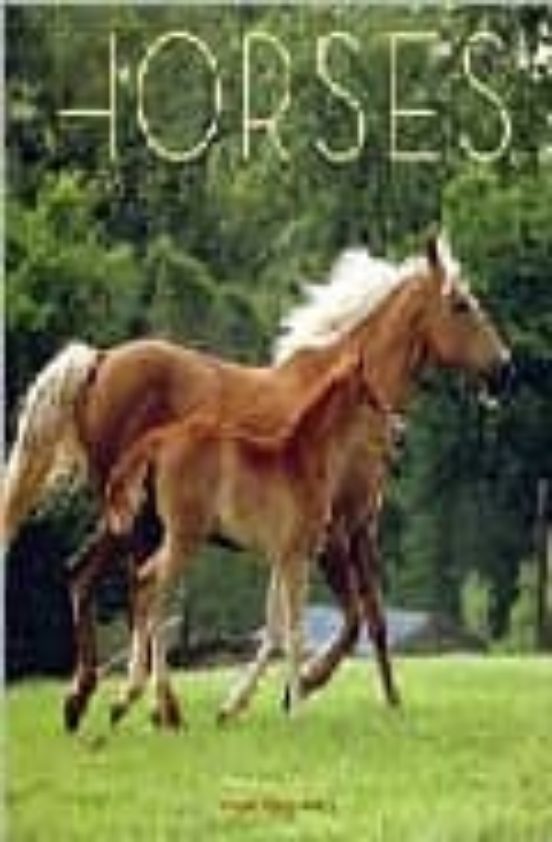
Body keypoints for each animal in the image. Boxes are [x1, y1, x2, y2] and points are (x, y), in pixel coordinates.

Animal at [3, 233, 511, 730]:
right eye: (461, 304)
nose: (504, 368)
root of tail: (101, 360)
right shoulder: (329, 538)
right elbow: (343, 622)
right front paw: (299, 687)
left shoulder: (359, 529)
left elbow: (373, 619)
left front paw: (390, 701)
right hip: (135, 522)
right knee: (109, 584)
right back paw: (110, 701)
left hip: (138, 522)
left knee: (105, 583)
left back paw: (111, 702)